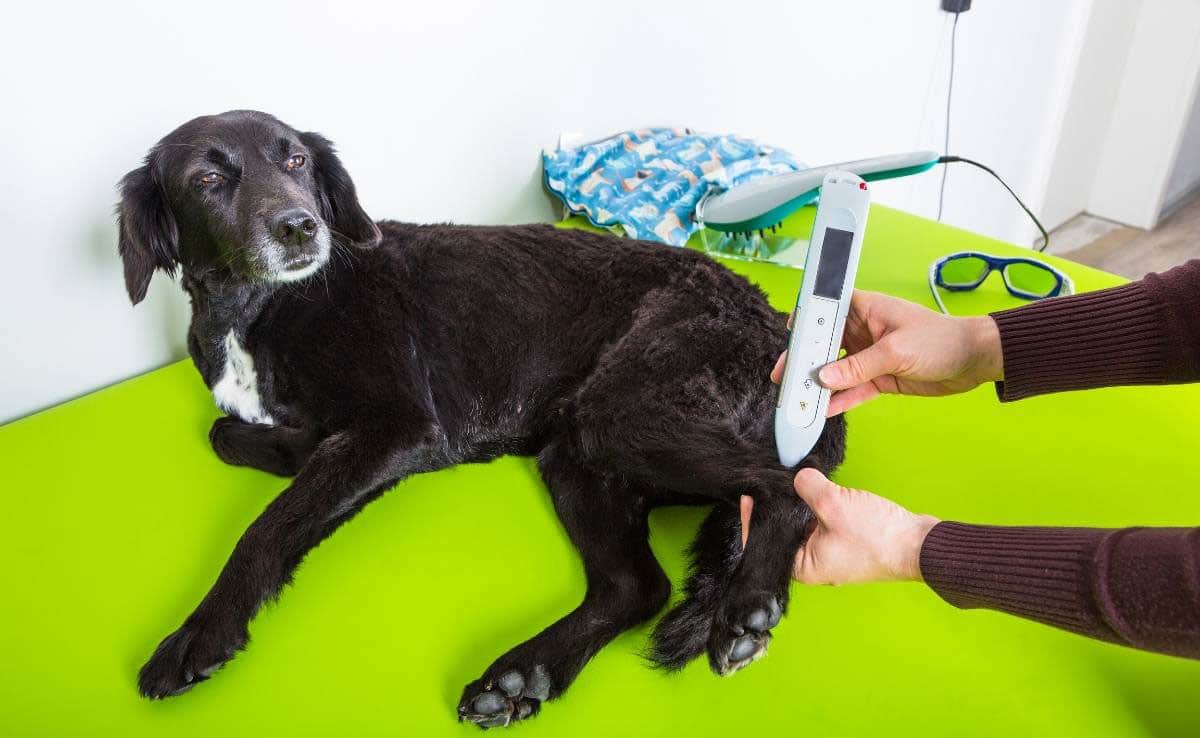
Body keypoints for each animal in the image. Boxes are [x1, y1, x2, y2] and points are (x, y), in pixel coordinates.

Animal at [117, 109, 840, 729]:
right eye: (207, 180)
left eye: (294, 159)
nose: (300, 227)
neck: (261, 307)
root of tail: (777, 322)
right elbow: (230, 435)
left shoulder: (401, 426)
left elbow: (266, 526)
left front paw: (202, 631)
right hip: (576, 454)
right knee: (638, 587)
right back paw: (522, 677)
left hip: (625, 415)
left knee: (787, 487)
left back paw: (746, 610)